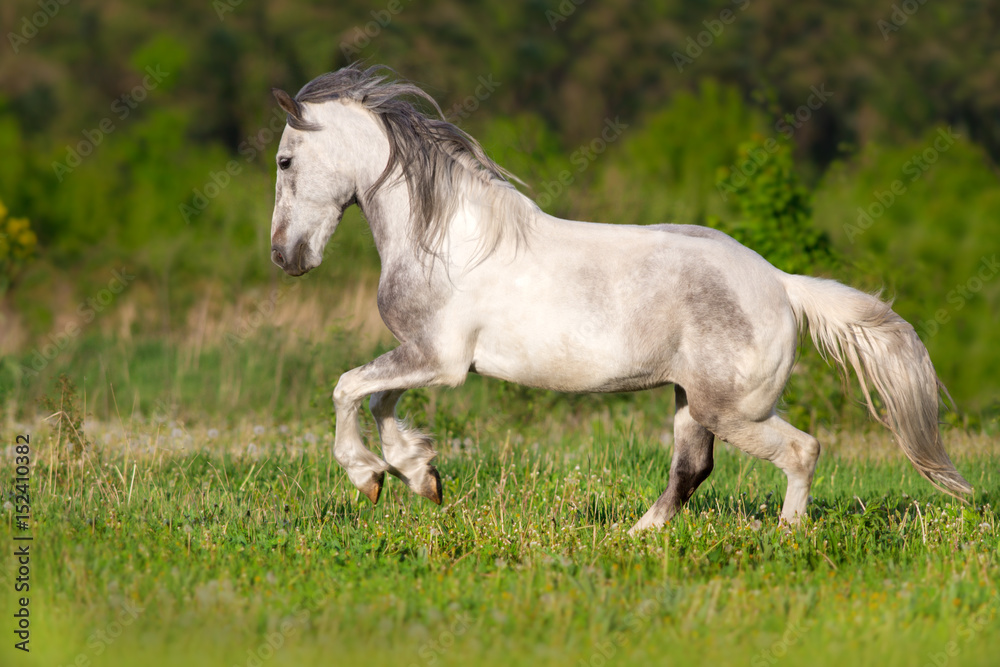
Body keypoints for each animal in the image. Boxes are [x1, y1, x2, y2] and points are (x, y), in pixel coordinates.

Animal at [266, 62, 968, 532]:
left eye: (284, 161)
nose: (285, 257)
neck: (444, 238)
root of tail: (780, 284)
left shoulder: (438, 361)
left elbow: (349, 388)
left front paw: (369, 477)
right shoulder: (422, 358)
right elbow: (377, 398)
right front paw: (419, 476)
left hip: (733, 410)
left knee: (801, 451)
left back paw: (787, 538)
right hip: (691, 402)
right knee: (691, 470)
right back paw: (638, 537)